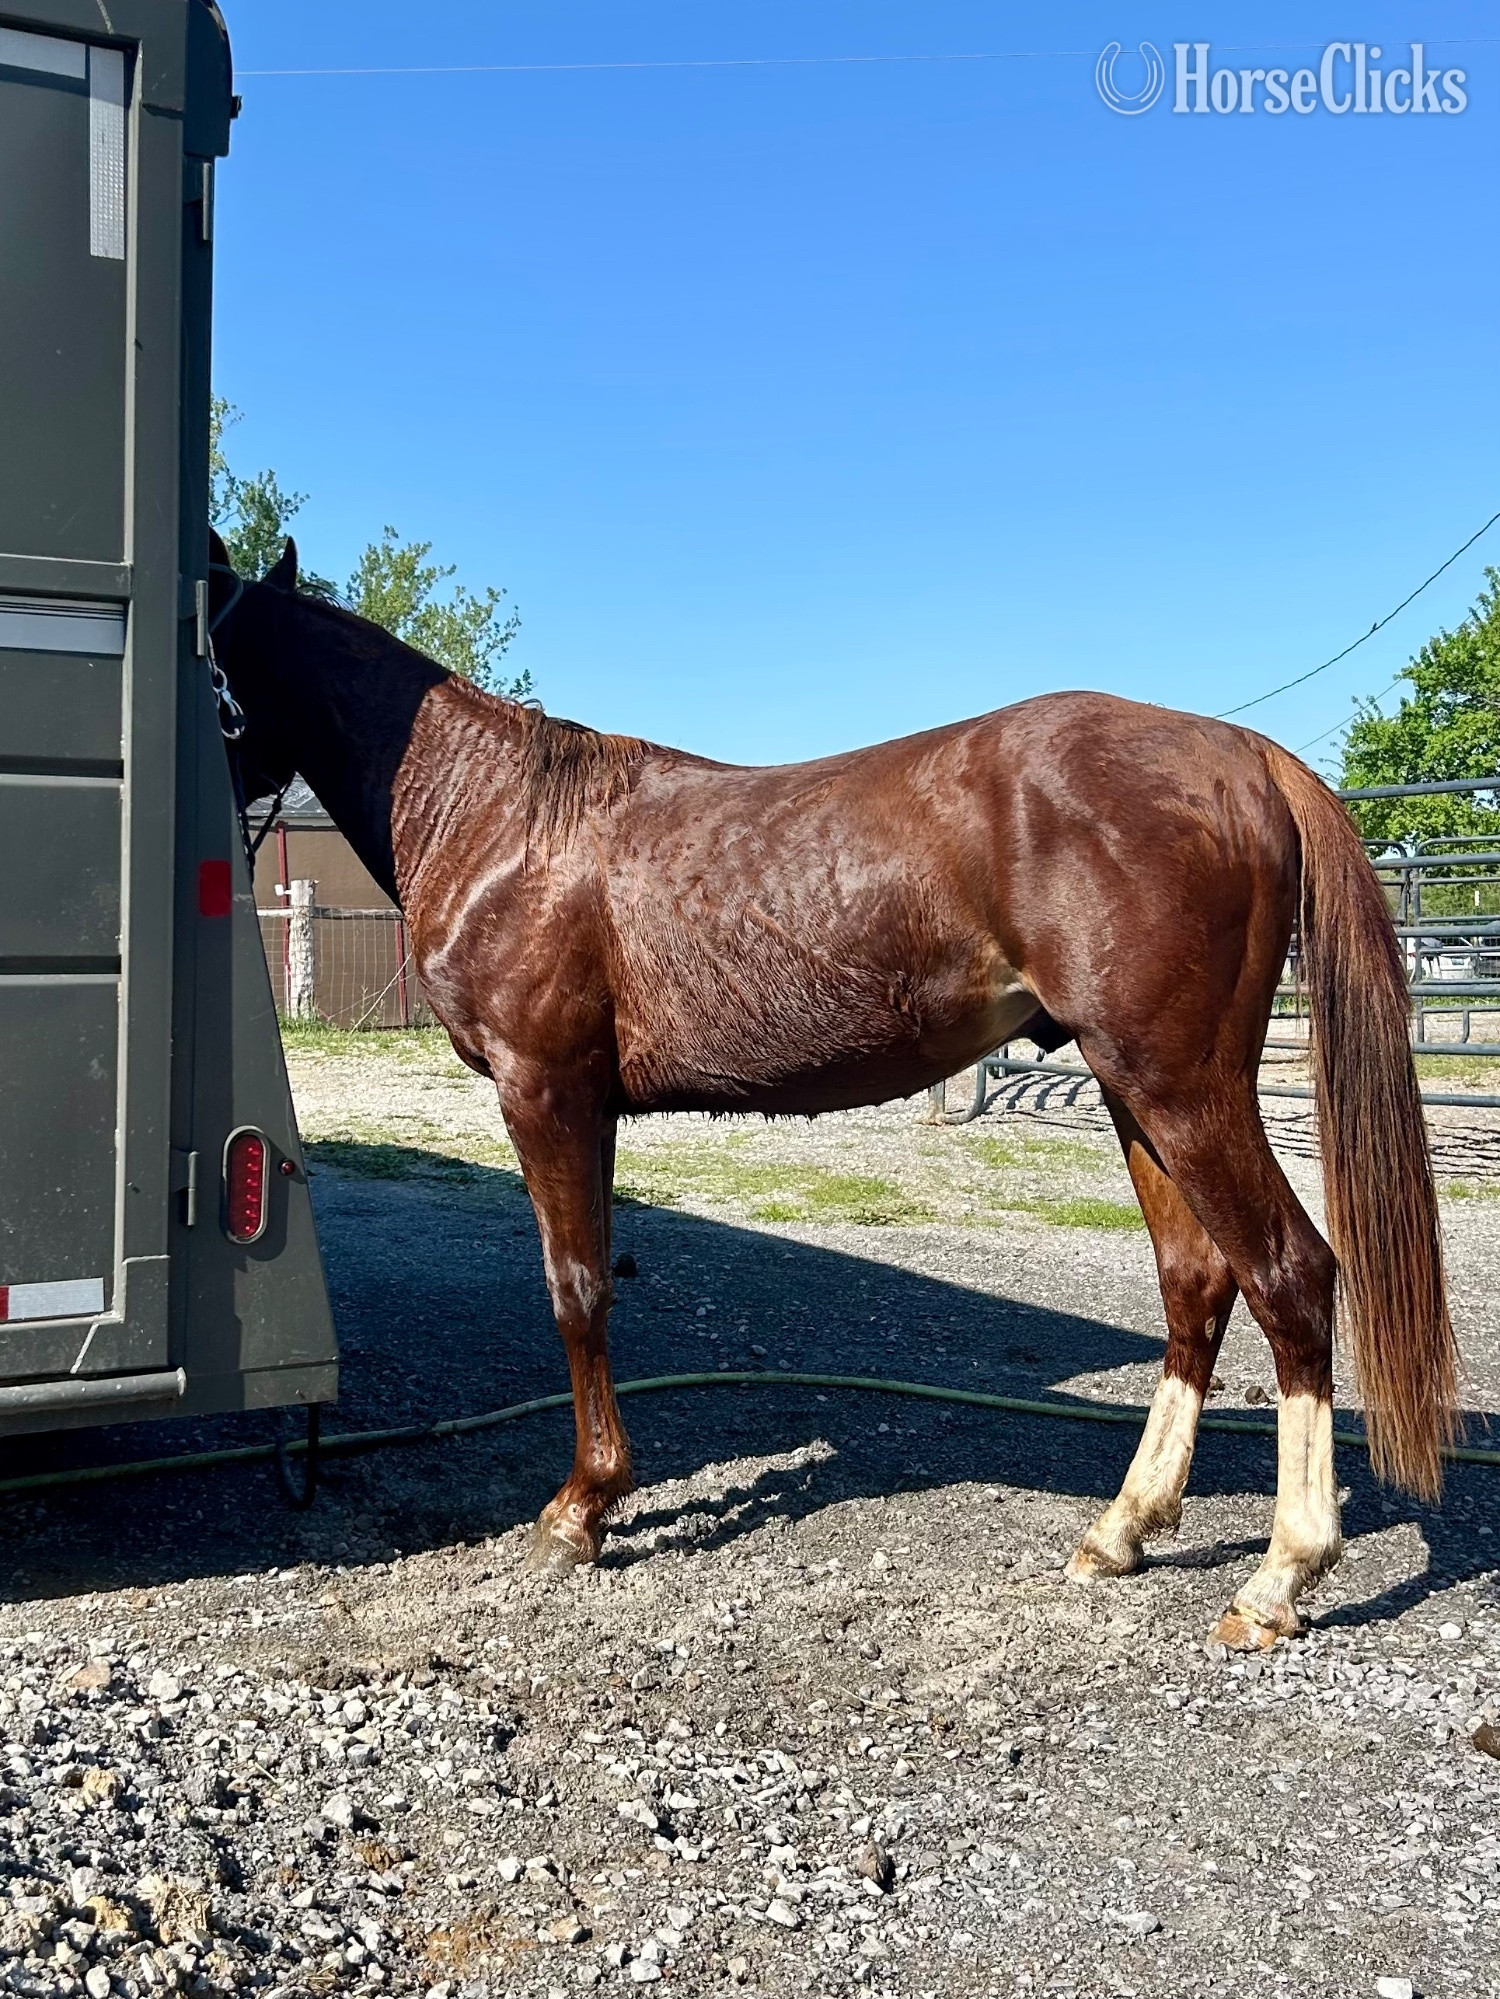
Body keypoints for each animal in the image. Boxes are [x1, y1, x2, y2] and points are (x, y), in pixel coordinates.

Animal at [206, 531, 1457, 1649]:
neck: (504, 817)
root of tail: (1245, 754)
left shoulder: (545, 1090)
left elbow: (575, 1290)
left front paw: (580, 1510)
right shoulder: (586, 1105)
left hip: (1182, 1086)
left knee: (1291, 1275)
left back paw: (1280, 1576)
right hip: (1136, 1090)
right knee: (1197, 1280)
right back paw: (1122, 1530)